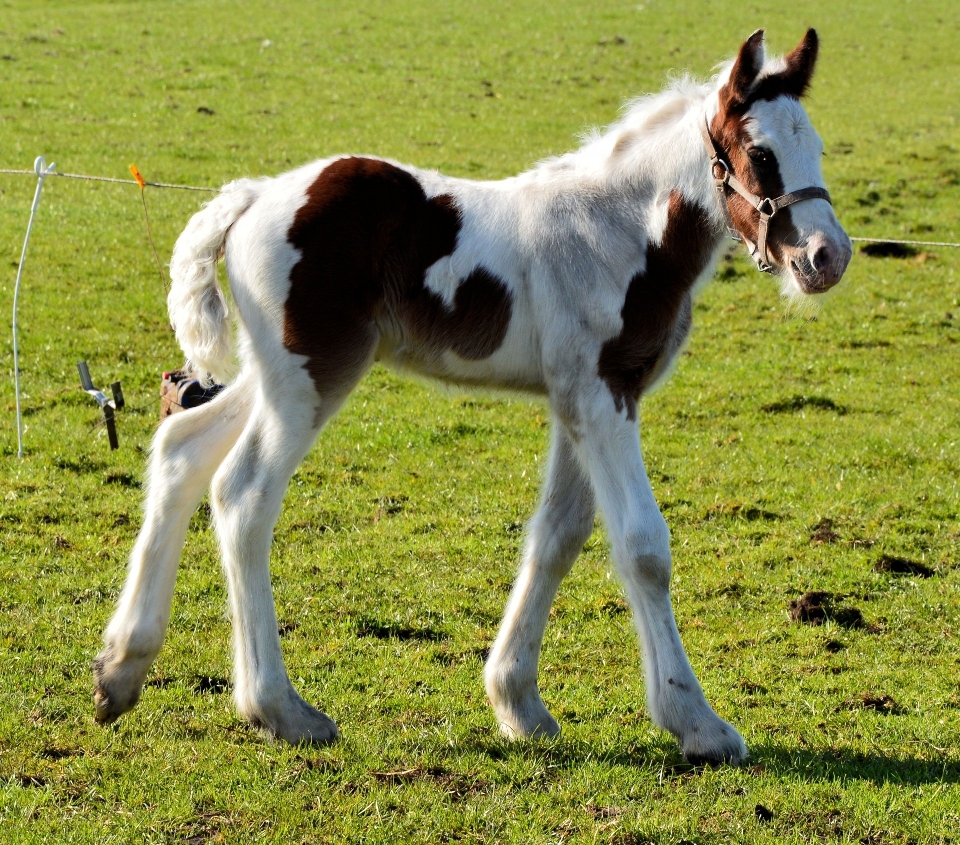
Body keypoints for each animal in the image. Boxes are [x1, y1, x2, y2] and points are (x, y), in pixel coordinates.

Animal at [94, 29, 852, 764]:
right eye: (759, 152)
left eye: (815, 145)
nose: (827, 257)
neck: (623, 230)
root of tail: (253, 194)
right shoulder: (602, 394)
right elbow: (642, 545)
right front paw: (697, 723)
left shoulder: (578, 400)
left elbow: (558, 535)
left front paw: (519, 703)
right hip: (310, 376)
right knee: (243, 493)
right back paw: (281, 710)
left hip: (277, 369)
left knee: (182, 449)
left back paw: (120, 671)